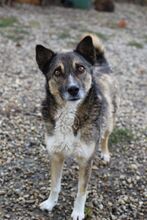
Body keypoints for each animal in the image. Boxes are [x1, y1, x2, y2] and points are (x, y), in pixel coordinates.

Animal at [35, 33, 119, 219]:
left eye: (80, 68)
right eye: (57, 72)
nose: (73, 89)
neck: (70, 113)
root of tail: (102, 65)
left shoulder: (86, 160)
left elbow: (81, 191)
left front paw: (78, 212)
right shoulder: (56, 155)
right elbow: (55, 185)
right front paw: (50, 203)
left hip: (109, 120)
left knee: (105, 137)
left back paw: (105, 153)